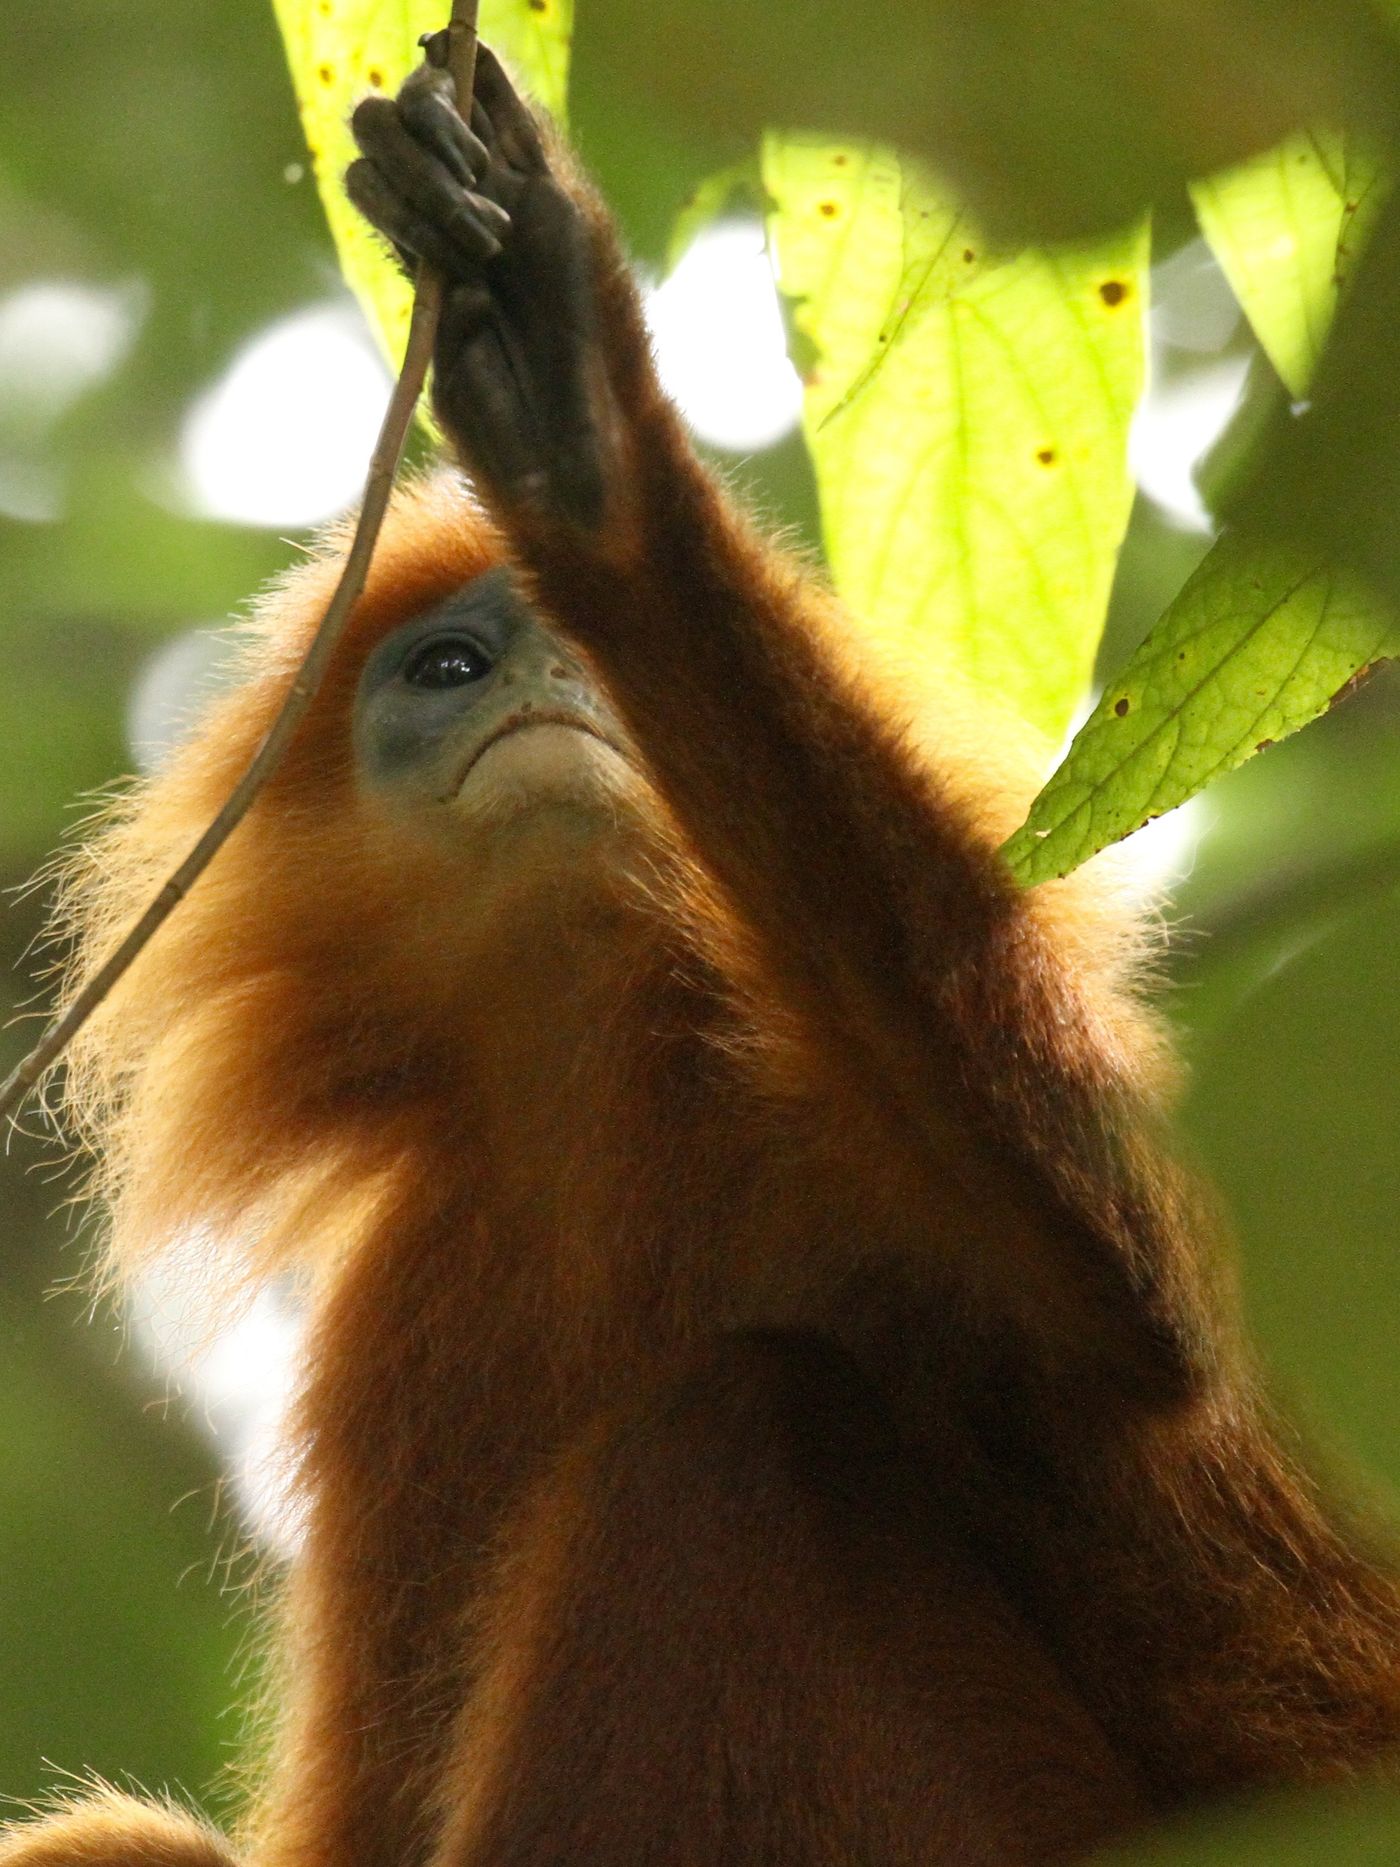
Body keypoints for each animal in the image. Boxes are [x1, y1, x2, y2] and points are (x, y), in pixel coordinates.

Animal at [8, 40, 1400, 1867]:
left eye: (560, 646)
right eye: (448, 669)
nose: (539, 683)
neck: (608, 1066)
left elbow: (1144, 1298)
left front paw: (584, 425)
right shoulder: (412, 1305)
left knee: (728, 1434)